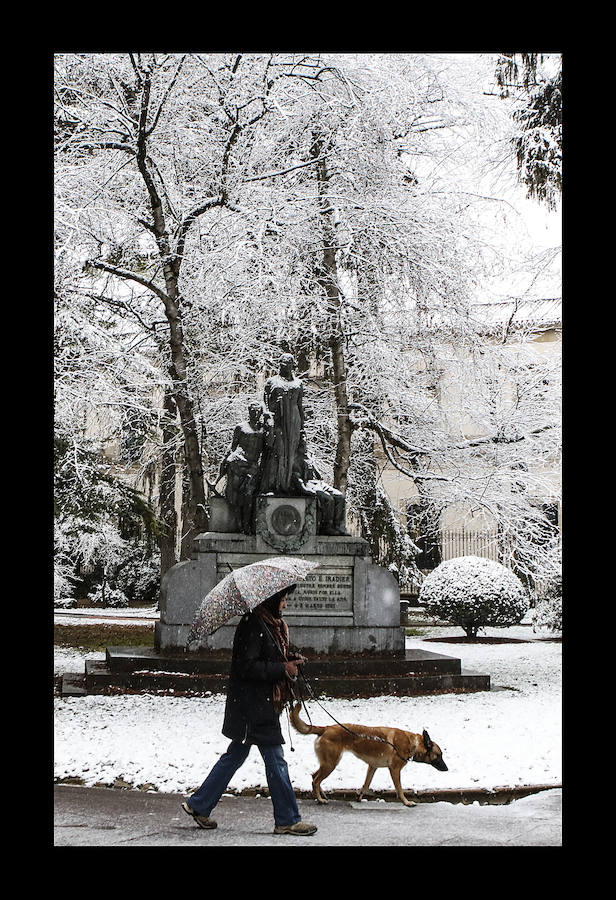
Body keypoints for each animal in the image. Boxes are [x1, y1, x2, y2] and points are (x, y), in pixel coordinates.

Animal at [290, 700, 448, 804]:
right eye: (439, 755)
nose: (447, 769)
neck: (413, 744)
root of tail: (326, 728)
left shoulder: (372, 767)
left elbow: (366, 784)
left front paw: (359, 796)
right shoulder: (394, 770)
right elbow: (399, 788)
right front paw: (406, 802)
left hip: (327, 764)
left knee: (314, 777)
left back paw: (322, 796)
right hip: (330, 764)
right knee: (316, 780)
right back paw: (320, 799)